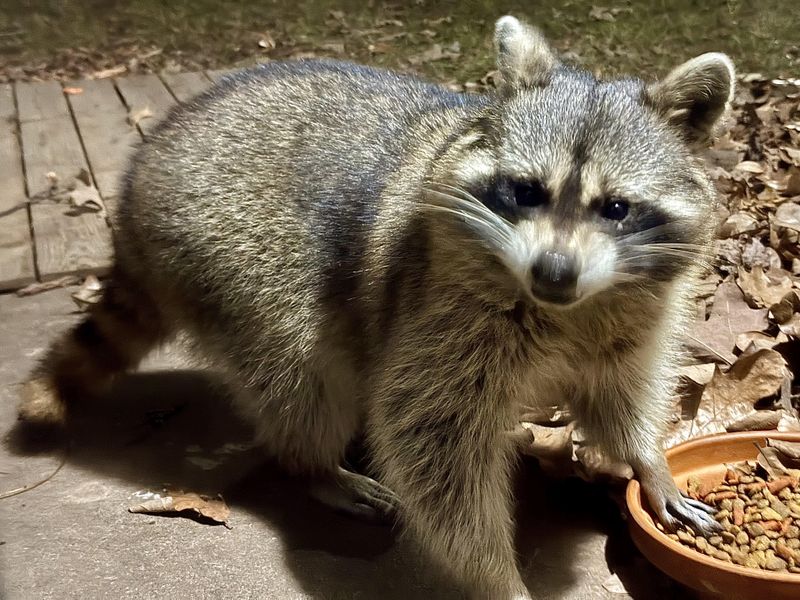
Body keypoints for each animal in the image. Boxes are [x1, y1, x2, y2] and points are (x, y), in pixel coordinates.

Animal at [19, 15, 734, 600]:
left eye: (615, 207)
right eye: (527, 191)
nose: (552, 273)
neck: (568, 307)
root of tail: (145, 169)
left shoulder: (634, 312)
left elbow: (620, 386)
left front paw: (646, 459)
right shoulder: (436, 303)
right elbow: (432, 442)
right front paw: (497, 577)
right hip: (228, 251)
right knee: (303, 375)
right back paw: (313, 464)